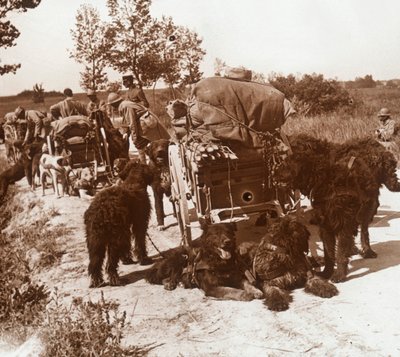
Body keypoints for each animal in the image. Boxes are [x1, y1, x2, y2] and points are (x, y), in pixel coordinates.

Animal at [274, 134, 380, 280]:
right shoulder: (326, 225)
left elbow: (340, 251)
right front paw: (326, 272)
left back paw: (368, 250)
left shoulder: (343, 223)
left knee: (364, 231)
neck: (324, 180)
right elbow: (329, 253)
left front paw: (339, 274)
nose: (274, 172)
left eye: (285, 164)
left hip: (366, 211)